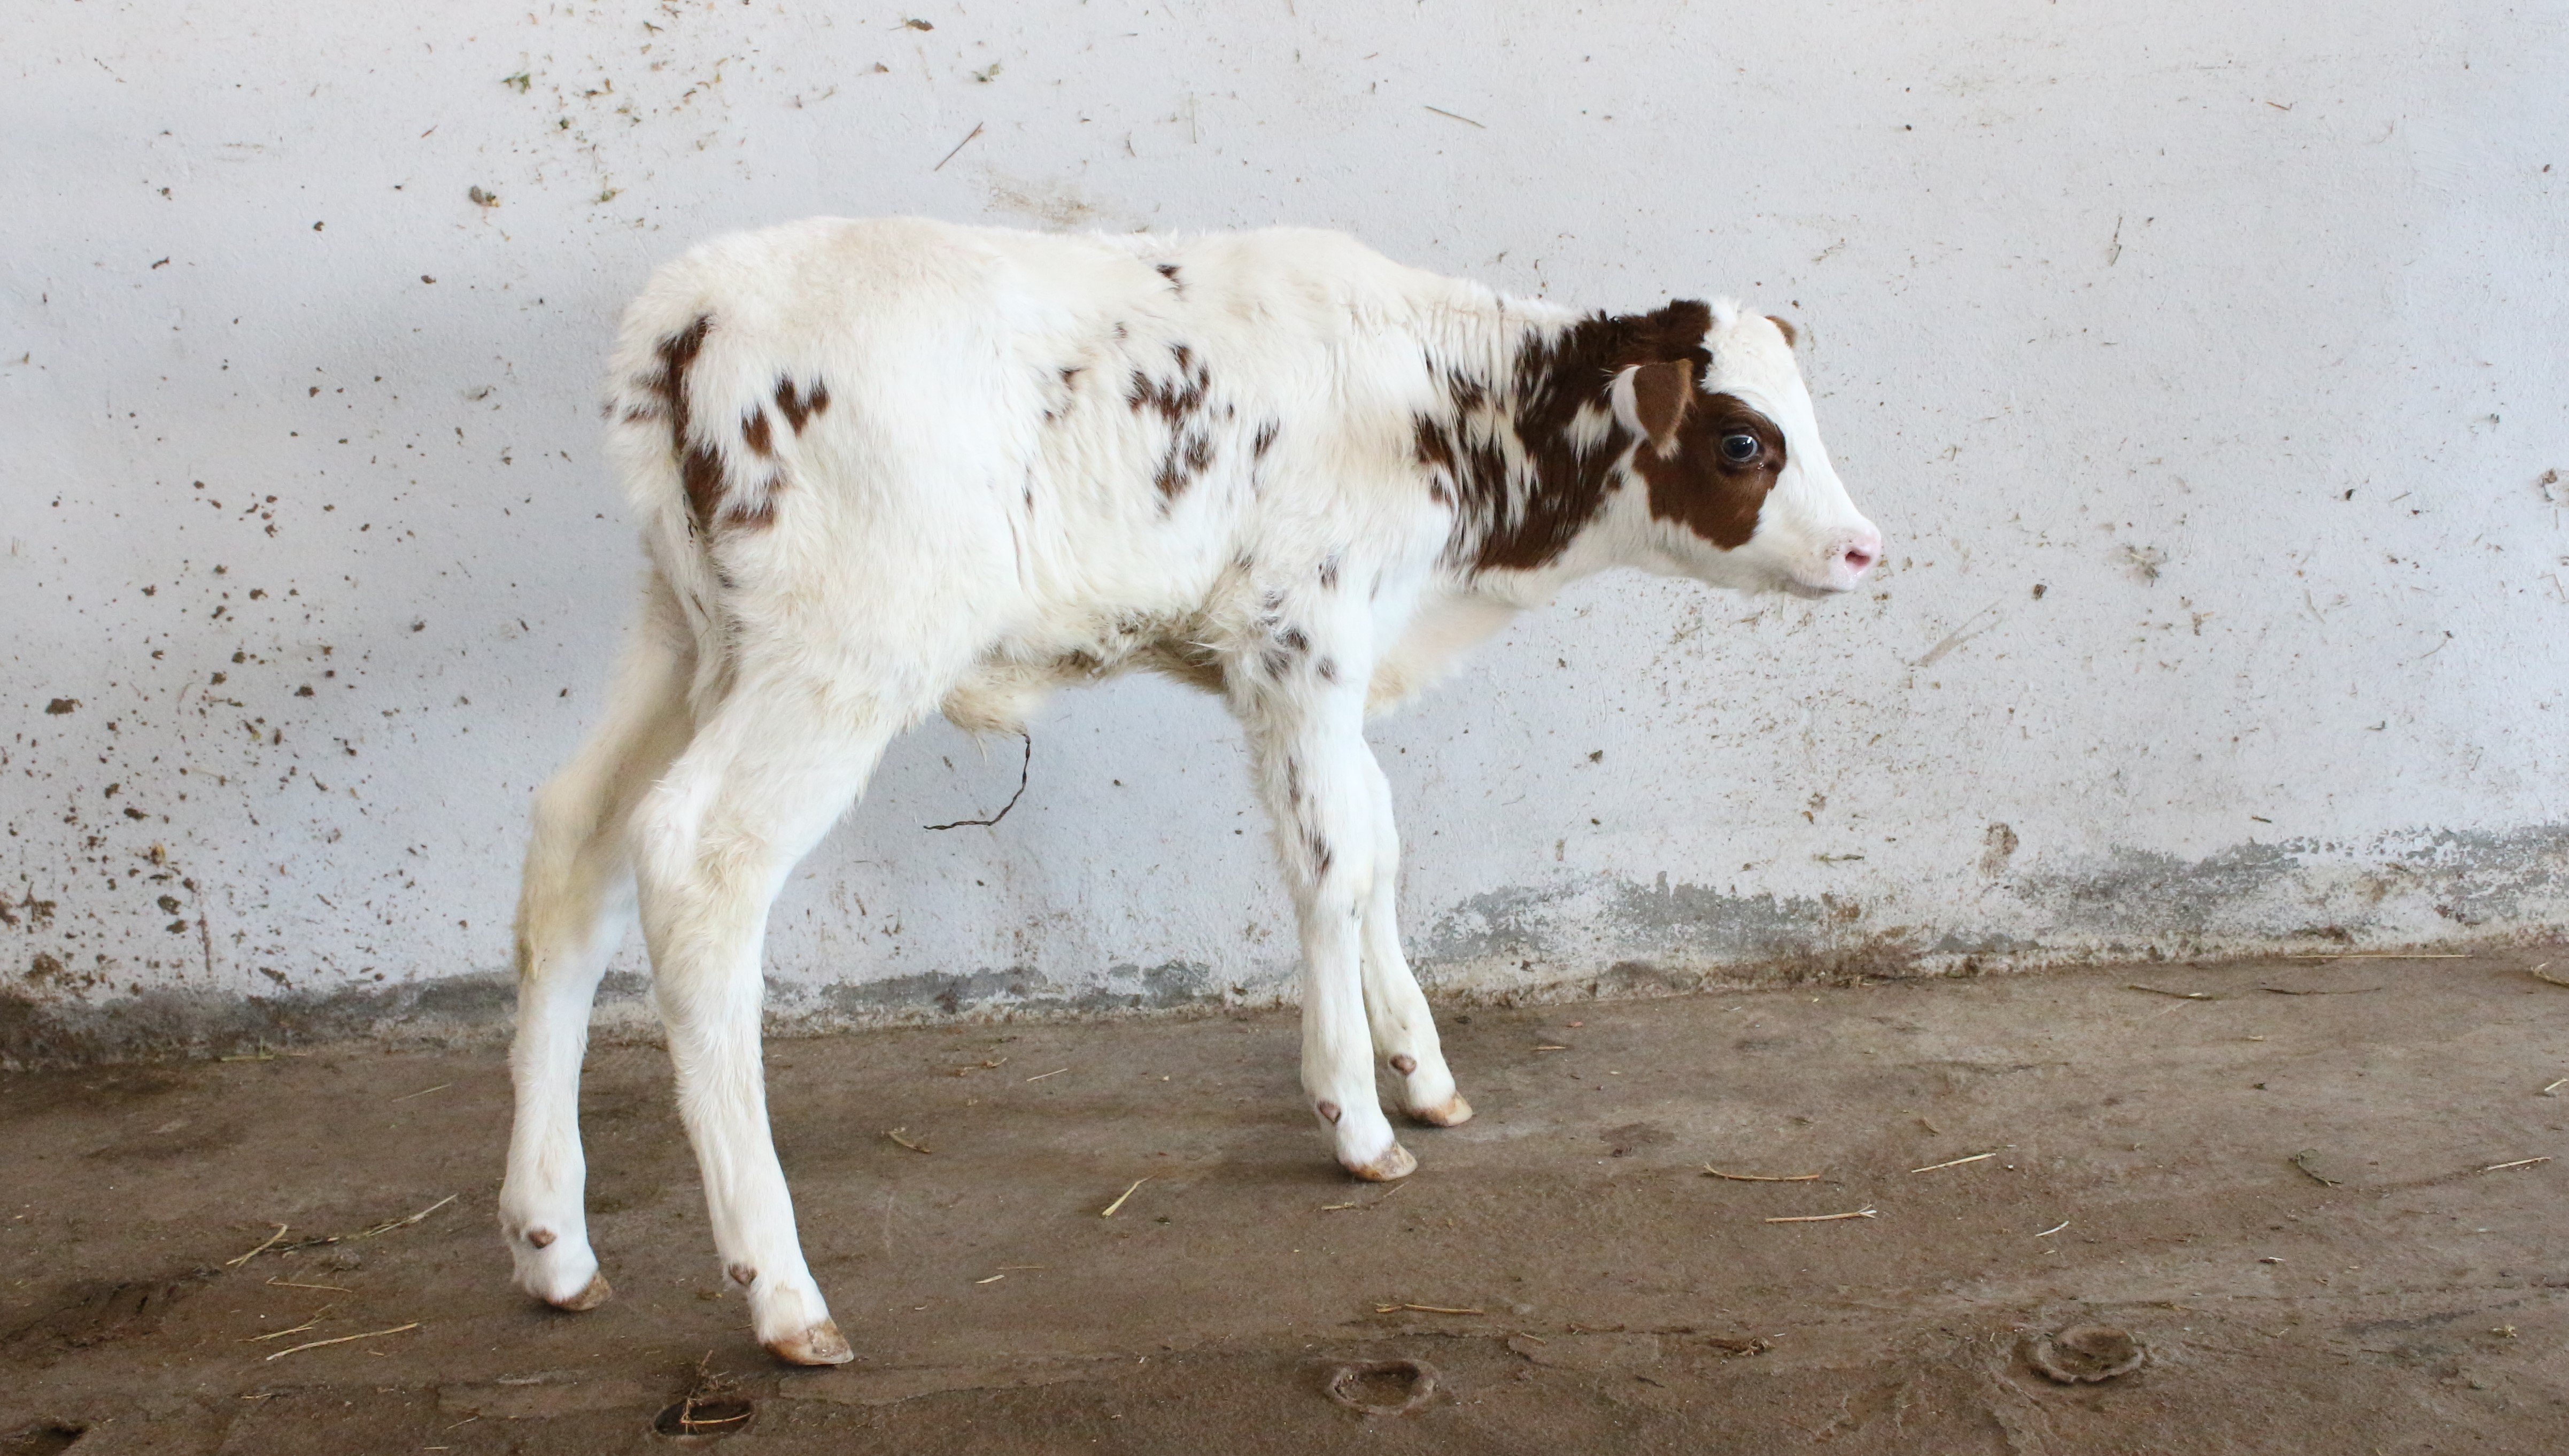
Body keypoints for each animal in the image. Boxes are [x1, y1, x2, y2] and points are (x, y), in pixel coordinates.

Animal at [501, 216, 1880, 1366]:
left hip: (690, 635)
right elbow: (1330, 867)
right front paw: (1356, 1121)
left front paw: (1422, 1072)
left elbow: (1377, 842)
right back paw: (782, 1293)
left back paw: (551, 1243)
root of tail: (692, 307)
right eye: (1743, 440)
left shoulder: (1338, 664)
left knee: (574, 840)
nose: (1865, 548)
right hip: (846, 644)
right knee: (697, 859)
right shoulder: (1298, 639)